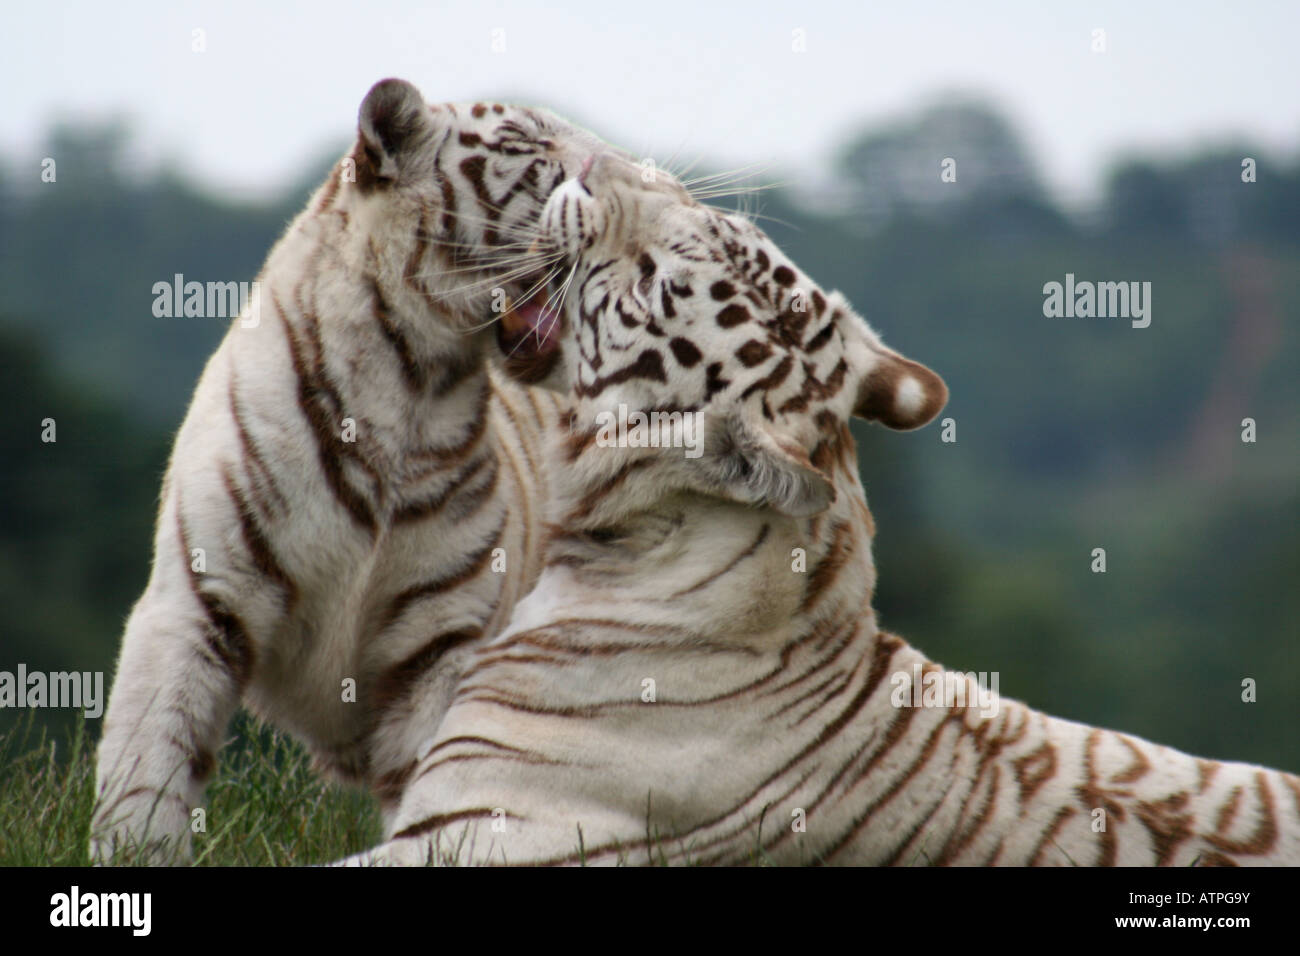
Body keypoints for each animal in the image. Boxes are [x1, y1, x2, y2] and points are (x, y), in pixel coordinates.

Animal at [91, 78, 613, 863]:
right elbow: (150, 755)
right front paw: (135, 851)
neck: (411, 388)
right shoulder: (199, 597)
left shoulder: (440, 642)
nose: (628, 186)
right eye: (533, 146)